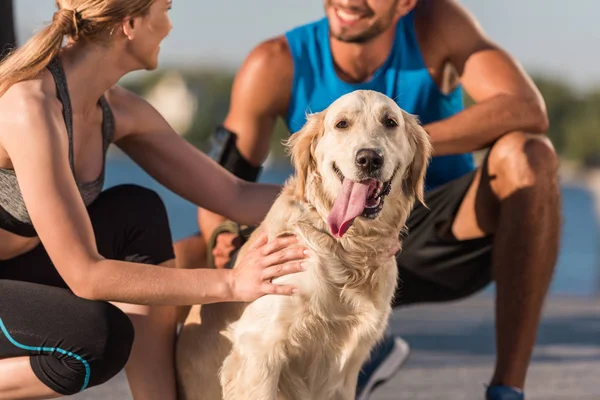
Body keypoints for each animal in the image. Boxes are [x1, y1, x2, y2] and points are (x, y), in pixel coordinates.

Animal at [173, 90, 432, 400]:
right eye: (342, 124)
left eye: (390, 122)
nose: (369, 158)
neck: (348, 247)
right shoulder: (258, 350)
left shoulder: (346, 372)